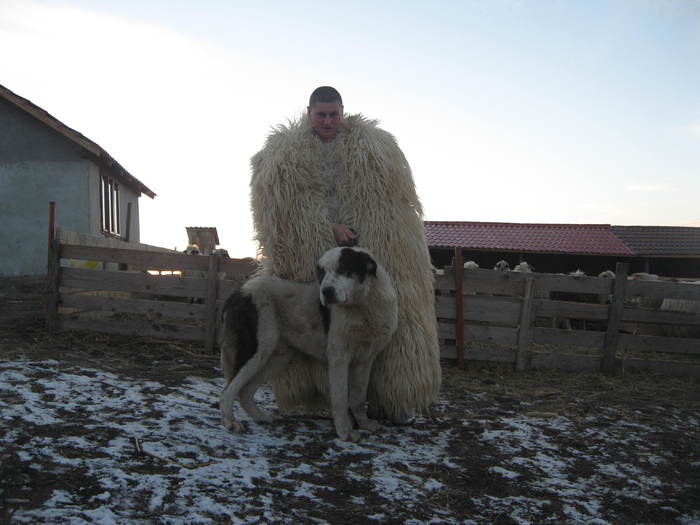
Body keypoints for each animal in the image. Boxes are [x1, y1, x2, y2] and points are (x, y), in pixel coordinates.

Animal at [220, 244, 394, 440]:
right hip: (256, 350)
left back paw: (261, 416)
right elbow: (341, 398)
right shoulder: (339, 359)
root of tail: (239, 291)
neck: (363, 306)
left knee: (245, 391)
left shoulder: (365, 360)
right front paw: (345, 432)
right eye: (321, 274)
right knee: (228, 391)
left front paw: (364, 424)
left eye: (344, 269)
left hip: (276, 357)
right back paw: (230, 422)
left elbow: (358, 397)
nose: (326, 292)